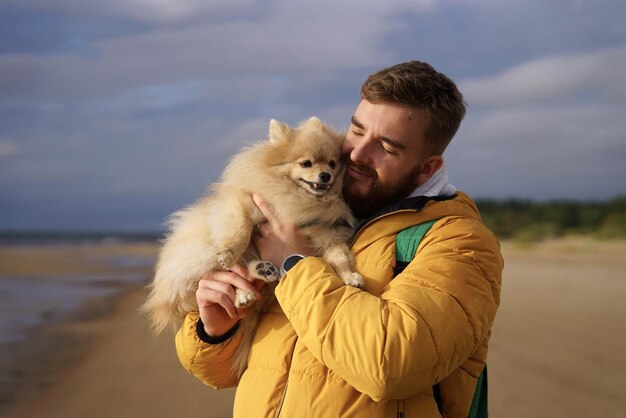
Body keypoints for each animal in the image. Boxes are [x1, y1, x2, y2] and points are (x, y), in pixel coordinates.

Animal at [143, 116, 360, 376]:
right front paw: (228, 252)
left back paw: (257, 278)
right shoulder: (245, 204)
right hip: (198, 257)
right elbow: (242, 230)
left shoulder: (327, 235)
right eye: (306, 163)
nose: (325, 175)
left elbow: (339, 258)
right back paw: (245, 286)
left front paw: (350, 277)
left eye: (332, 163)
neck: (302, 200)